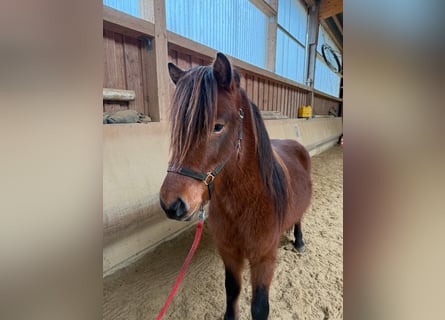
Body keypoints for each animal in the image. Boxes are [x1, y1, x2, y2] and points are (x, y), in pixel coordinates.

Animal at [158, 53, 310, 320]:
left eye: (217, 126)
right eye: (179, 129)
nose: (171, 203)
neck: (245, 202)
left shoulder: (264, 258)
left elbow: (259, 307)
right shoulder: (228, 253)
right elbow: (232, 290)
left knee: (299, 218)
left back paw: (299, 241)